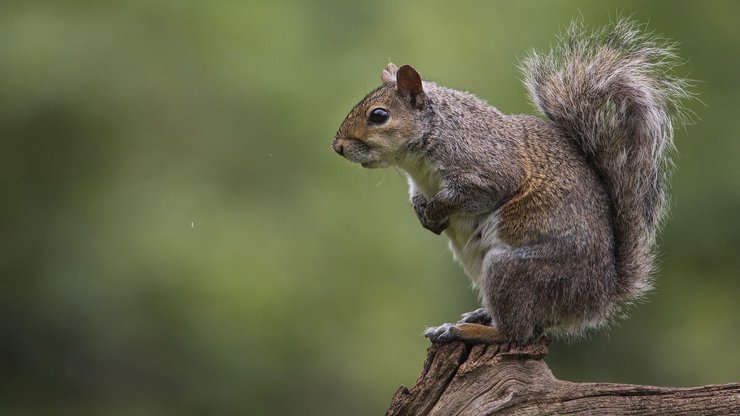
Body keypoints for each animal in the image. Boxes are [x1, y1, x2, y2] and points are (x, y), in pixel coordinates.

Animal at [332, 19, 692, 342]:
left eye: (379, 115)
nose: (337, 146)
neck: (420, 158)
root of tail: (595, 300)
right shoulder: (418, 183)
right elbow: (417, 197)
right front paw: (423, 212)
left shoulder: (488, 167)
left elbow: (471, 195)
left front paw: (435, 211)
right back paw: (479, 315)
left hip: (512, 271)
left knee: (516, 333)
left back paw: (466, 331)